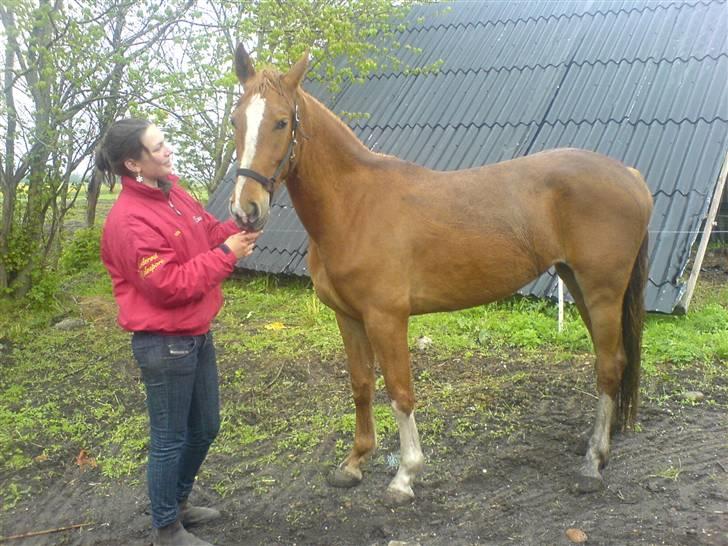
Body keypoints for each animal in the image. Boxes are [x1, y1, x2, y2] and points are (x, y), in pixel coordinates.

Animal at [229, 44, 656, 504]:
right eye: (236, 120)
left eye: (281, 121)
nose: (245, 210)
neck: (355, 204)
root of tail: (631, 176)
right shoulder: (348, 317)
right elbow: (361, 385)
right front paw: (354, 463)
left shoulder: (386, 318)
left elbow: (400, 391)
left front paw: (405, 475)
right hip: (578, 284)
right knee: (610, 361)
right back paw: (598, 444)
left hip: (602, 291)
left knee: (609, 366)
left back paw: (592, 464)